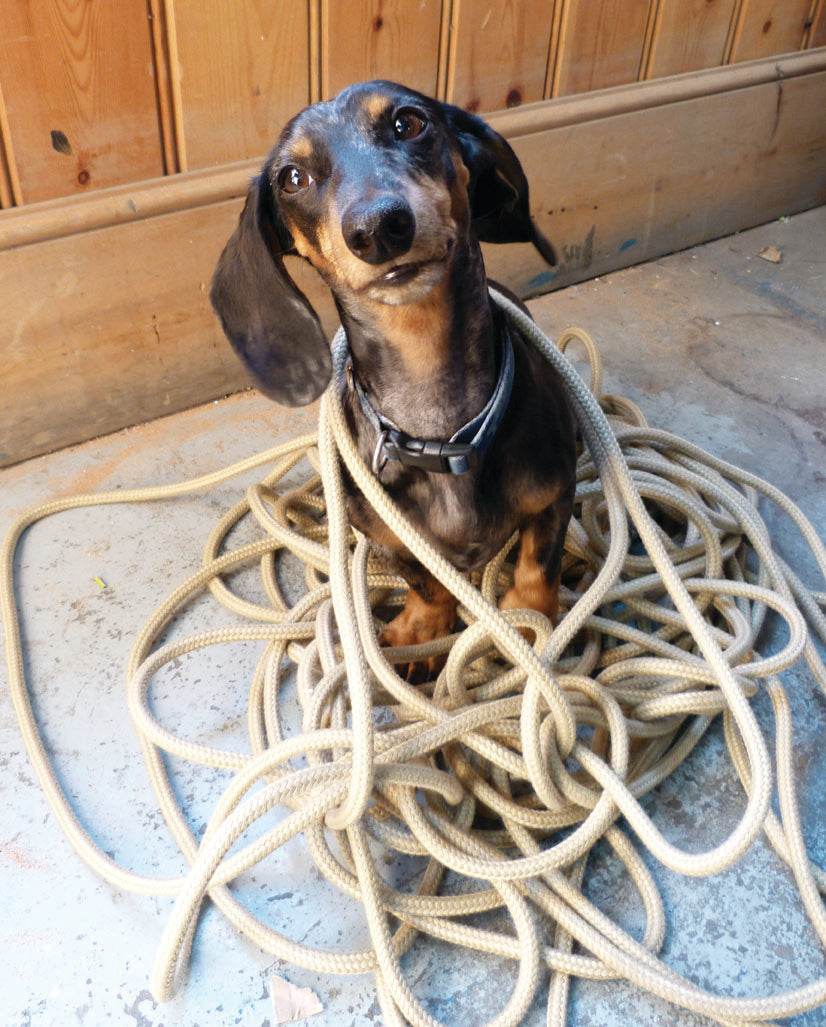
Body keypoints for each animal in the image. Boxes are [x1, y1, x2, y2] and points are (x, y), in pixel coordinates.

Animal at [211, 84, 575, 669]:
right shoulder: (382, 533)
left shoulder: (558, 489)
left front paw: (527, 618)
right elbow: (423, 577)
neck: (439, 430)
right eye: (293, 177)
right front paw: (422, 629)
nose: (377, 228)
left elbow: (539, 563)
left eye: (408, 123)